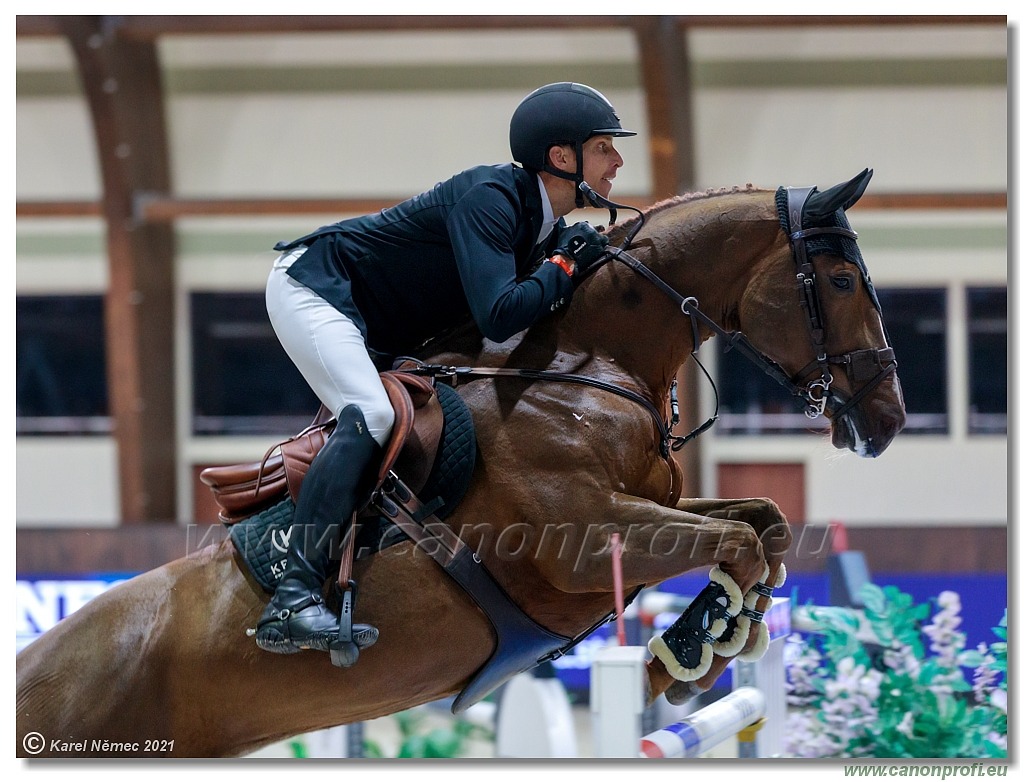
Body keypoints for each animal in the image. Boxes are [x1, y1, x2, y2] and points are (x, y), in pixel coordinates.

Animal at [16, 169, 905, 757]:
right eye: (841, 279)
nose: (887, 421)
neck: (584, 364)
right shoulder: (585, 544)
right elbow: (743, 541)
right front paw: (688, 656)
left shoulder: (648, 510)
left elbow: (764, 525)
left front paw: (709, 638)